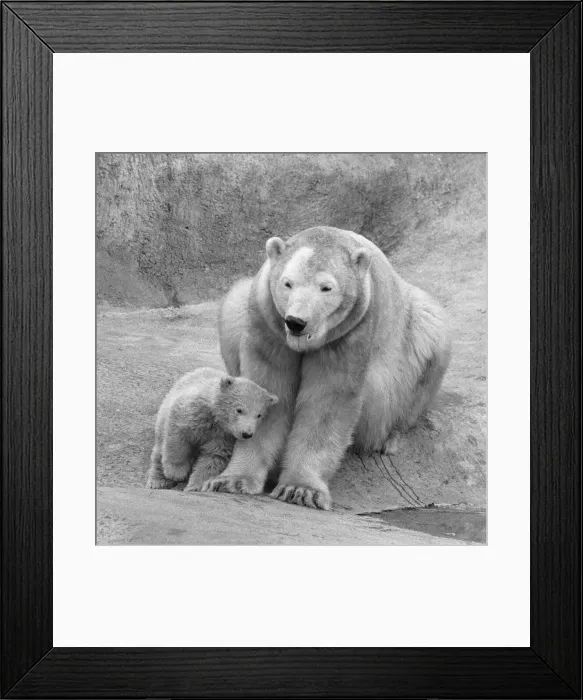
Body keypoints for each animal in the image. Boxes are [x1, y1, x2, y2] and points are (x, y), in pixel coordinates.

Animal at [145, 367, 278, 492]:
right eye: (239, 410)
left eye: (259, 415)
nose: (247, 434)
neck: (216, 419)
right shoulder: (190, 413)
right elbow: (177, 438)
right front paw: (176, 472)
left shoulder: (223, 436)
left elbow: (213, 457)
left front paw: (196, 486)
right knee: (159, 451)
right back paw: (159, 481)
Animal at [202, 226, 451, 510]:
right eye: (287, 283)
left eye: (326, 288)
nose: (296, 322)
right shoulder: (268, 323)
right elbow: (267, 388)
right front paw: (231, 480)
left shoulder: (349, 335)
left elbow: (327, 403)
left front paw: (300, 489)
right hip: (239, 306)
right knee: (232, 307)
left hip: (415, 335)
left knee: (428, 340)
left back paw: (389, 438)